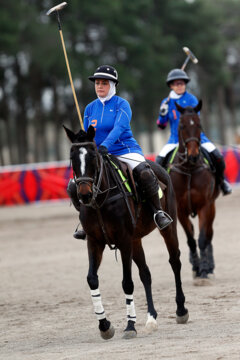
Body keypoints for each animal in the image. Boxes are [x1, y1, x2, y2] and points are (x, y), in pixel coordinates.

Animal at [63, 126, 189, 340]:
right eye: (72, 157)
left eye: (93, 155)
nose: (85, 195)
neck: (100, 200)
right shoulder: (94, 242)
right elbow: (92, 279)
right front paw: (104, 325)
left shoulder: (123, 241)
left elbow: (127, 282)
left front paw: (130, 326)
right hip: (136, 239)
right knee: (146, 273)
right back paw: (151, 318)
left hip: (167, 228)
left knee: (175, 261)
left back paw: (181, 310)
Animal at [168, 100, 220, 282]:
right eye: (182, 126)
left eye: (199, 125)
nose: (193, 155)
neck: (189, 169)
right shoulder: (180, 209)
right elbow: (190, 239)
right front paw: (197, 267)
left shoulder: (205, 205)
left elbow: (203, 238)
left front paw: (204, 269)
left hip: (212, 207)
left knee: (210, 234)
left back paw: (210, 265)